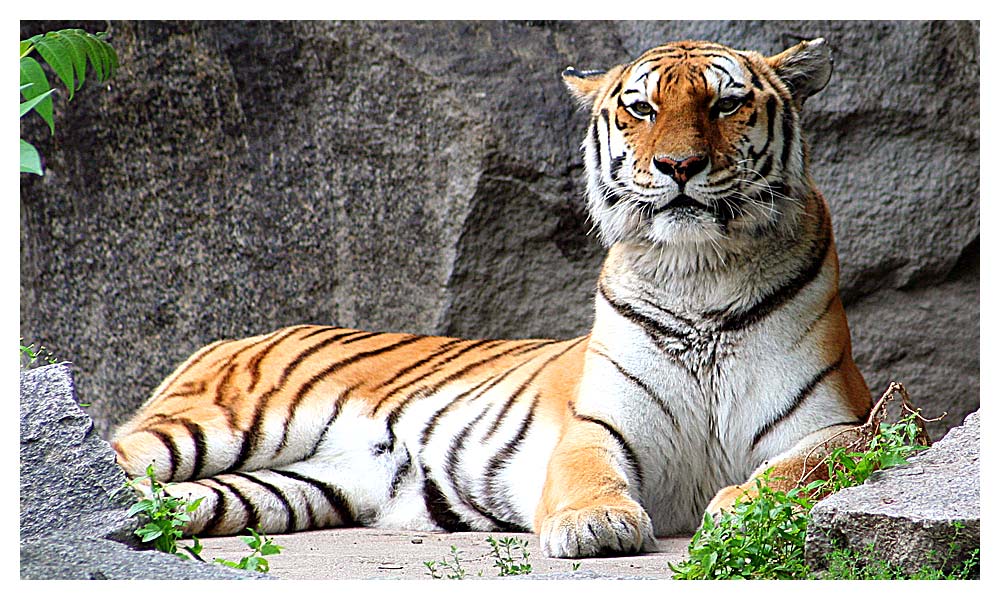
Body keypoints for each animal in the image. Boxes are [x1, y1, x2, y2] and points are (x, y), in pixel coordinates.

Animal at [109, 38, 872, 556]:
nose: (678, 165)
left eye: (726, 102)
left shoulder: (846, 422)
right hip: (215, 425)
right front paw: (595, 522)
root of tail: (226, 338)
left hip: (285, 487)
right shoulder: (598, 423)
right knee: (115, 459)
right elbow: (588, 470)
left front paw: (742, 508)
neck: (700, 272)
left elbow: (804, 468)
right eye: (642, 109)